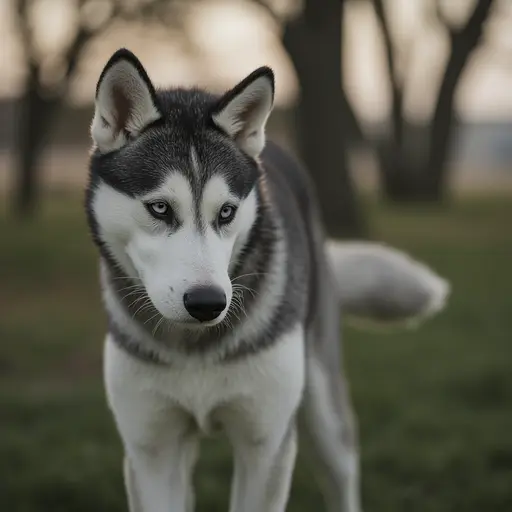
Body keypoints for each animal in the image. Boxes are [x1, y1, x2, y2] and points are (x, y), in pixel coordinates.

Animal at [84, 49, 448, 512]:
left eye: (226, 211)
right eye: (160, 208)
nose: (207, 303)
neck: (195, 350)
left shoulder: (267, 446)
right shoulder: (152, 451)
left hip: (322, 407)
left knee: (342, 471)